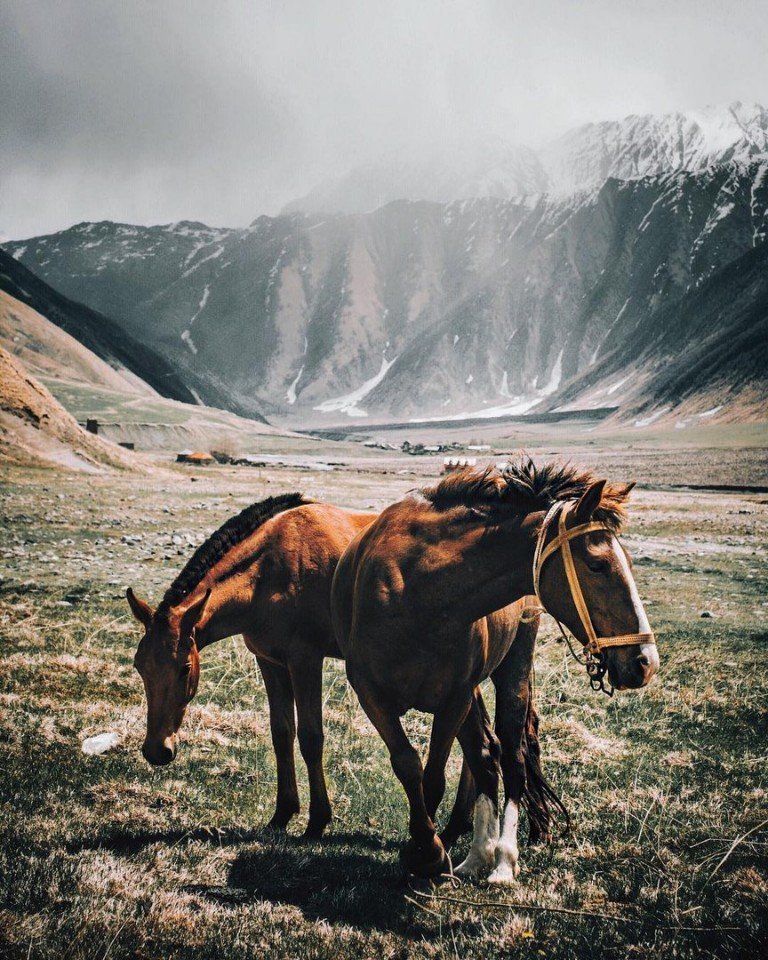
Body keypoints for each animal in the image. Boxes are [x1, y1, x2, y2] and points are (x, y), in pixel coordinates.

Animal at [330, 462, 660, 880]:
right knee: (485, 753)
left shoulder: (455, 697)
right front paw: (425, 846)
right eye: (598, 564)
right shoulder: (372, 694)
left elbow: (434, 775)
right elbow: (408, 764)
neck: (416, 588)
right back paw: (475, 852)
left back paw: (502, 857)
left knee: (511, 756)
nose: (645, 661)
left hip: (511, 671)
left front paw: (428, 851)